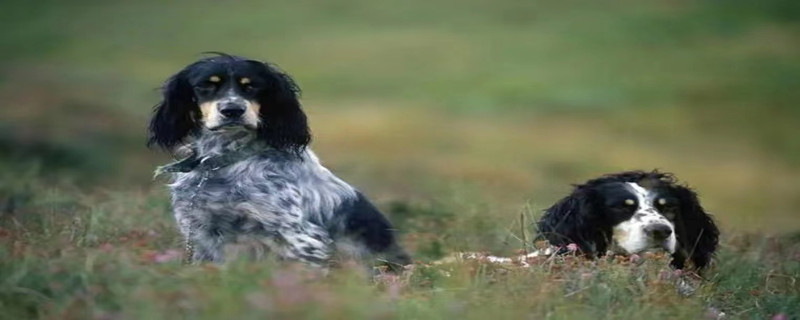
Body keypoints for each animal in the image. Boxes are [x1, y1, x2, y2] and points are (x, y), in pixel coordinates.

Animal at [147, 53, 412, 272]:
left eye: (252, 86)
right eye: (206, 86)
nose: (233, 110)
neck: (225, 160)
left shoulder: (302, 237)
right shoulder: (202, 235)